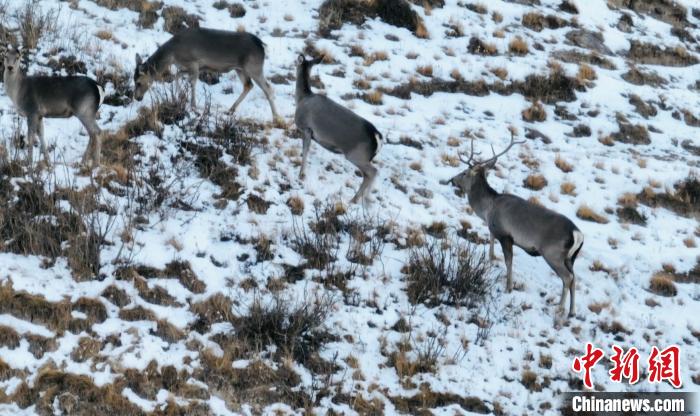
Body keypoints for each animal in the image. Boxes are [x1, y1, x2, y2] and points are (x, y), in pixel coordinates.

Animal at [133, 28, 281, 123]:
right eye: (133, 80)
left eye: (138, 82)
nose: (137, 97)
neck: (173, 55)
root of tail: (261, 45)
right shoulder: (189, 67)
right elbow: (177, 77)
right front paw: (180, 97)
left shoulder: (193, 63)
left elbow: (192, 83)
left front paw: (194, 108)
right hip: (240, 69)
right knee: (248, 85)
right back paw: (230, 110)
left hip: (254, 67)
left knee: (268, 88)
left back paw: (276, 117)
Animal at [294, 55, 382, 204]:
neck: (302, 98)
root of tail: (377, 137)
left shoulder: (307, 128)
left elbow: (305, 151)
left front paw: (301, 175)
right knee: (368, 174)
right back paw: (361, 198)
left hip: (357, 155)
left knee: (373, 171)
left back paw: (359, 199)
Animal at [448, 133, 584, 319]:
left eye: (464, 172)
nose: (452, 180)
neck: (487, 209)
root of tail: (577, 234)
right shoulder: (495, 230)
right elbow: (492, 242)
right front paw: (491, 259)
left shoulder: (506, 235)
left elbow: (509, 261)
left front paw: (509, 287)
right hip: (571, 258)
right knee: (574, 278)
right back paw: (572, 311)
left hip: (552, 253)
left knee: (567, 278)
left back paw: (560, 309)